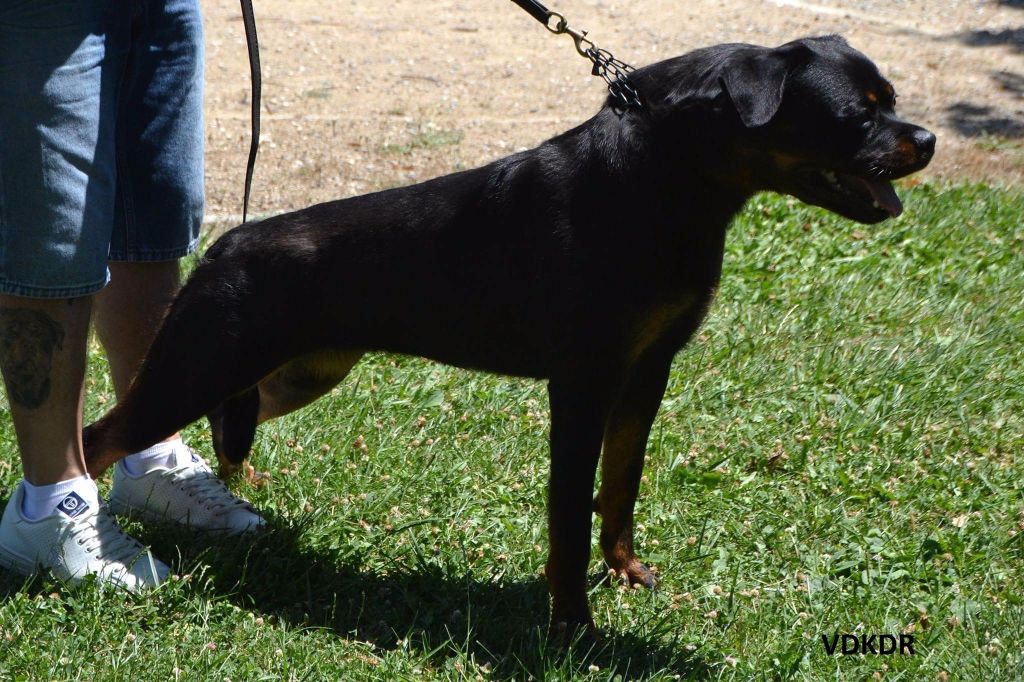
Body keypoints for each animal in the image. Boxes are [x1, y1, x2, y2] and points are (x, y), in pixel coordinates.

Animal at [84, 35, 934, 630]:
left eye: (891, 98)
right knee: (100, 437)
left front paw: (624, 571)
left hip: (305, 367)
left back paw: (243, 487)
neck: (665, 180)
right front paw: (572, 626)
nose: (924, 140)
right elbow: (569, 508)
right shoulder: (584, 381)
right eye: (858, 113)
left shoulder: (647, 369)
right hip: (197, 365)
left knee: (233, 418)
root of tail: (225, 244)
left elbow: (620, 485)